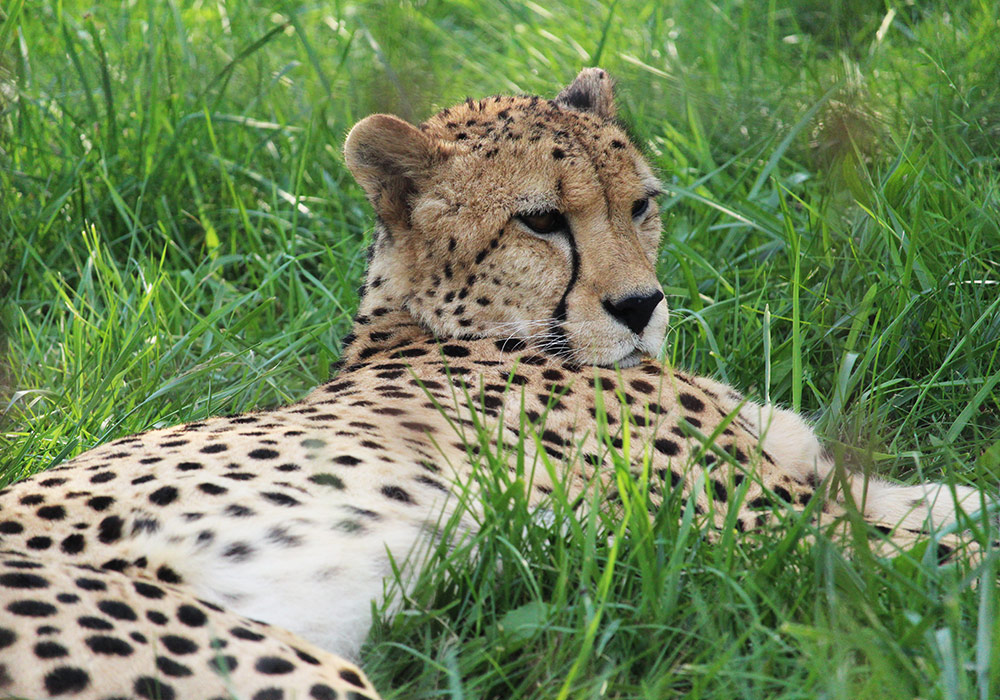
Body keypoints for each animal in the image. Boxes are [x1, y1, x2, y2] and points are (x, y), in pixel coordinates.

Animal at [0, 68, 991, 699]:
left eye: (642, 205)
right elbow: (949, 561)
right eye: (542, 221)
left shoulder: (808, 482)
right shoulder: (761, 528)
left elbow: (943, 501)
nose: (641, 307)